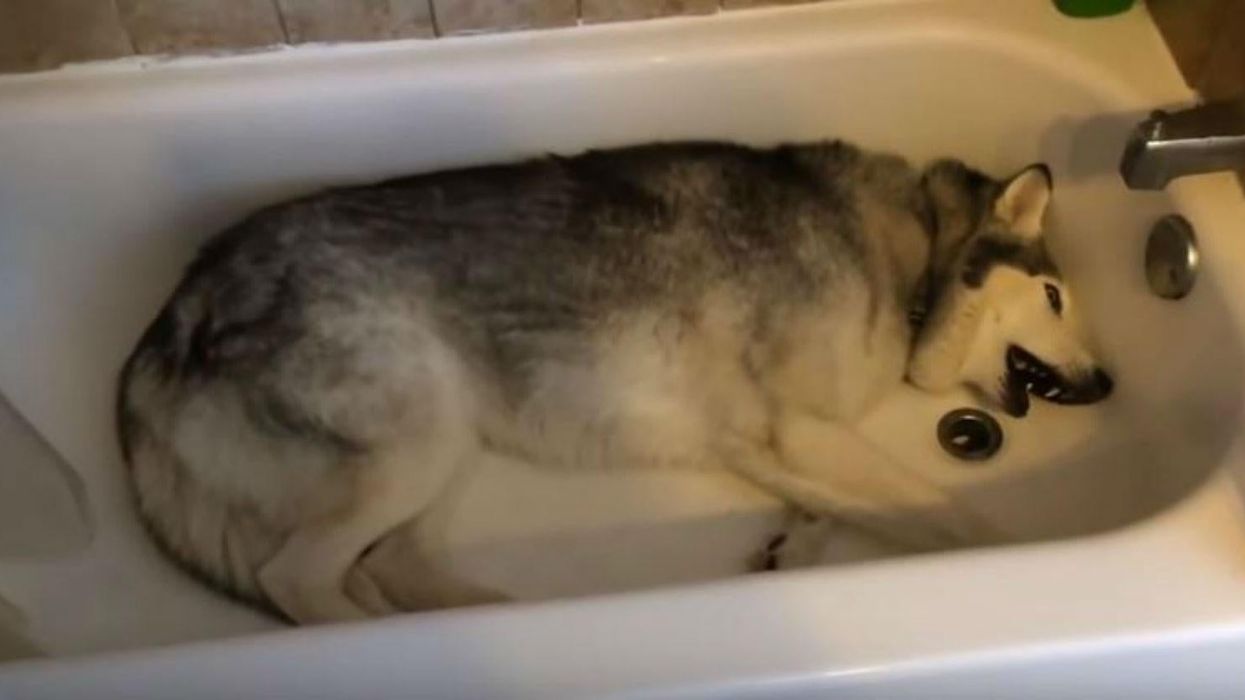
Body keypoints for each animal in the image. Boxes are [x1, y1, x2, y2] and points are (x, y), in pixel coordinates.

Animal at [114, 138, 1110, 617]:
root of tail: (176, 312)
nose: (1103, 386)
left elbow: (851, 505)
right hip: (413, 445)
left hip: (444, 447)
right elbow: (946, 514)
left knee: (390, 566)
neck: (907, 260)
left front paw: (795, 545)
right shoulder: (796, 428)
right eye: (1055, 295)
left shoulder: (773, 442)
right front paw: (1001, 559)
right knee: (298, 580)